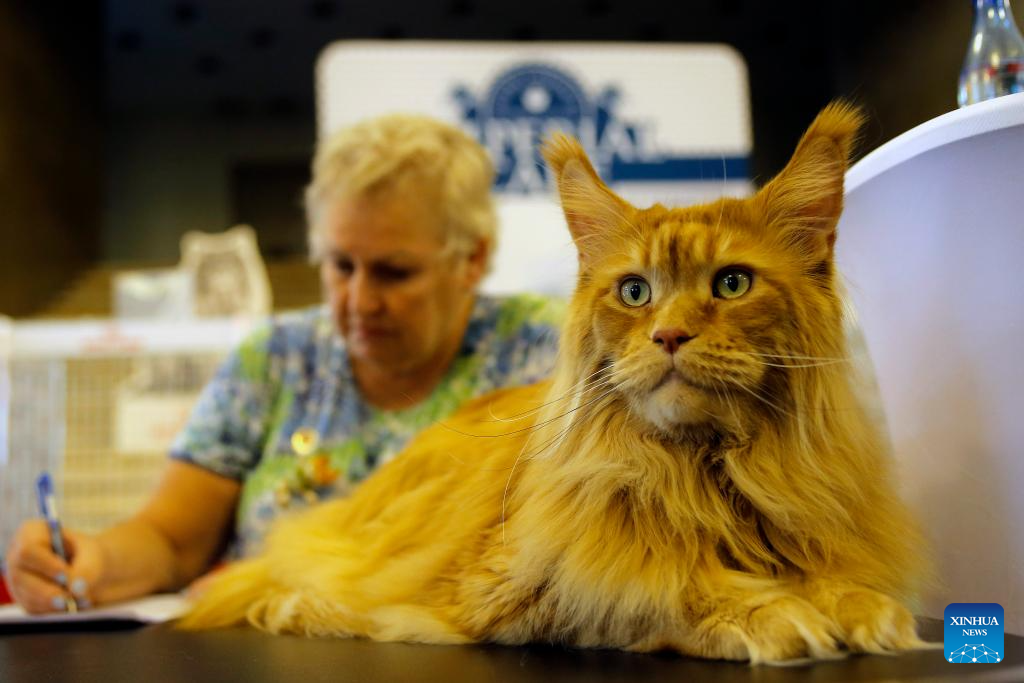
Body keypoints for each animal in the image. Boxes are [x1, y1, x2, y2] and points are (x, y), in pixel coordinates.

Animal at [180, 104, 933, 663]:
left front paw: (862, 608)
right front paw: (770, 611)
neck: (705, 473)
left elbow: (838, 581)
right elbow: (659, 587)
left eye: (731, 283)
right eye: (634, 292)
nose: (669, 336)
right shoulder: (518, 591)